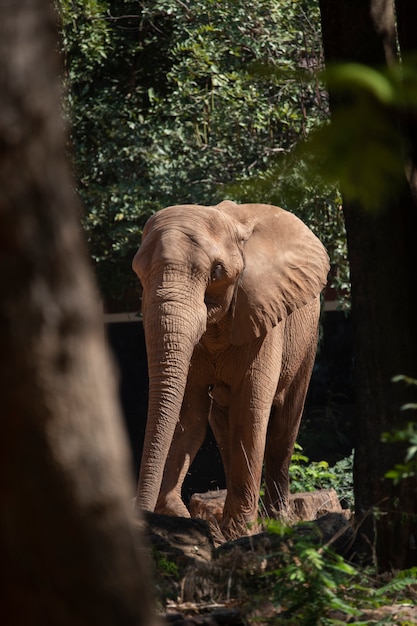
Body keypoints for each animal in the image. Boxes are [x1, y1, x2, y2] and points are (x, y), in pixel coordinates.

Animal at [133, 200, 328, 536]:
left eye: (217, 272)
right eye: (139, 273)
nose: (142, 517)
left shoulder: (263, 315)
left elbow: (249, 411)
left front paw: (238, 532)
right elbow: (188, 414)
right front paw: (181, 518)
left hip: (306, 337)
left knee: (283, 424)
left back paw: (278, 521)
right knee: (223, 426)